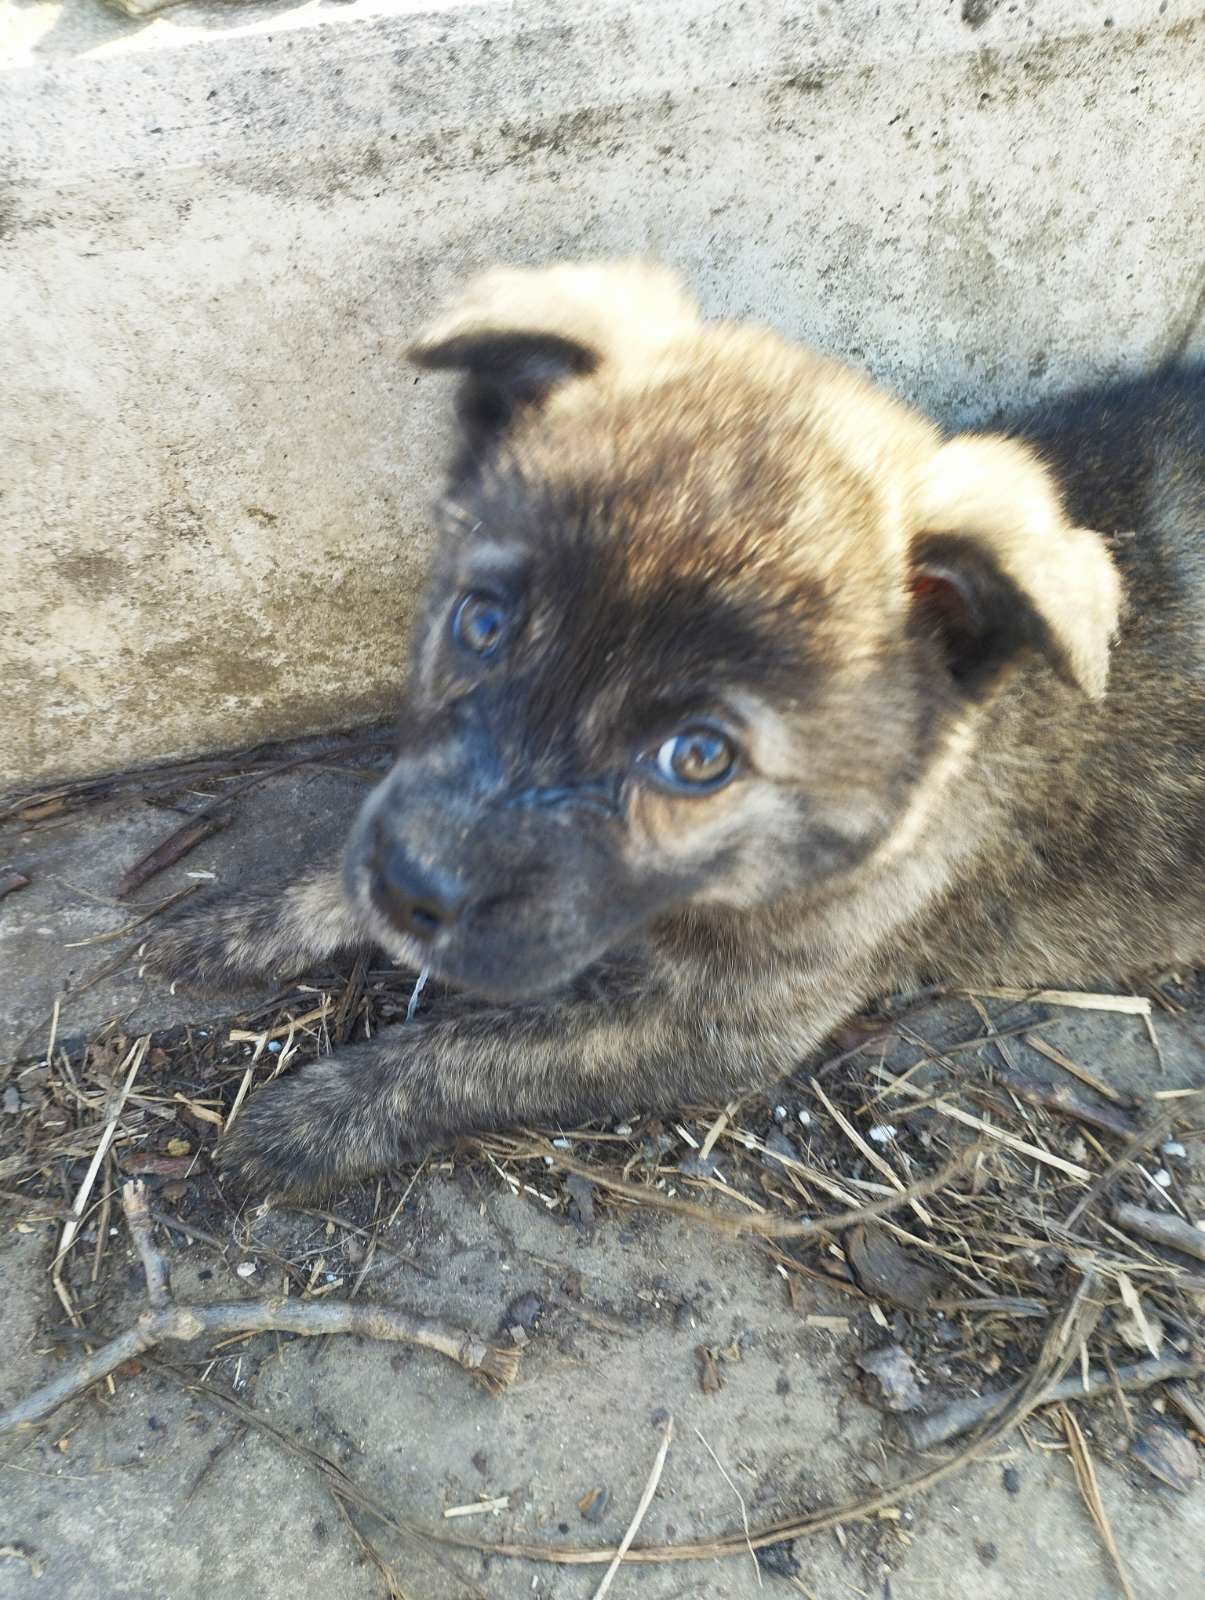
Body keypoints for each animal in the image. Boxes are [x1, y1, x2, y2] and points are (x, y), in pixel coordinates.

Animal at [143, 262, 1203, 1196]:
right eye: (480, 623)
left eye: (699, 759)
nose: (410, 893)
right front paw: (254, 922)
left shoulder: (725, 1028)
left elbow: (473, 1048)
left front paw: (318, 1116)